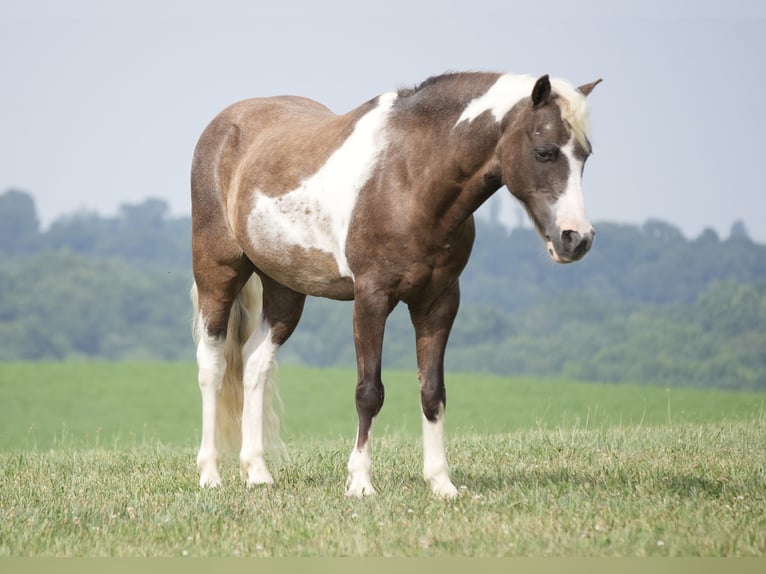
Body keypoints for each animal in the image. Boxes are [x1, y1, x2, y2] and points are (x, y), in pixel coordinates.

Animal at [190, 71, 601, 498]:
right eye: (544, 152)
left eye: (586, 155)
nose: (577, 239)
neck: (408, 178)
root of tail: (225, 124)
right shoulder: (371, 299)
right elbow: (369, 391)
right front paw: (360, 482)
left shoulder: (439, 301)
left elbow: (432, 392)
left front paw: (441, 483)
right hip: (217, 273)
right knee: (213, 366)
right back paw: (210, 474)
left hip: (285, 289)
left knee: (255, 363)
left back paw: (257, 472)